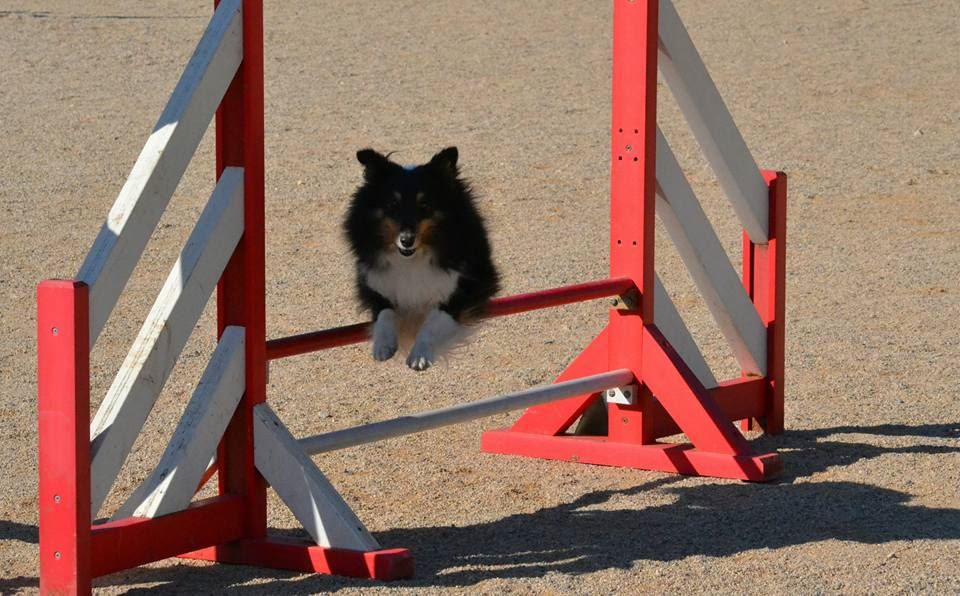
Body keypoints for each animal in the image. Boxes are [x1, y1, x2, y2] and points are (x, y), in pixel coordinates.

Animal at [344, 147, 502, 370]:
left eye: (424, 204)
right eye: (392, 204)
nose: (406, 240)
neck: (413, 257)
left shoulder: (472, 285)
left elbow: (435, 319)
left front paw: (419, 355)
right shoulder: (372, 284)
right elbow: (384, 312)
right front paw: (383, 345)